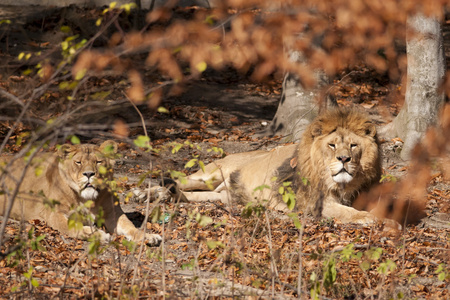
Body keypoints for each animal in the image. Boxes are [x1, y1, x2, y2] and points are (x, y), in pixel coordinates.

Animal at [0, 141, 162, 246]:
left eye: (98, 162)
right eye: (78, 162)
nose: (89, 174)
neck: (87, 199)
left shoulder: (113, 213)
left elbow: (130, 227)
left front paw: (148, 236)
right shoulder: (54, 213)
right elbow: (71, 227)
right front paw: (99, 235)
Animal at [174, 108, 388, 225]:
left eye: (353, 145)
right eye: (332, 145)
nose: (344, 158)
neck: (343, 185)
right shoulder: (315, 204)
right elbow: (347, 211)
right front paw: (368, 218)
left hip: (220, 194)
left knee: (197, 195)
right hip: (209, 175)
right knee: (180, 180)